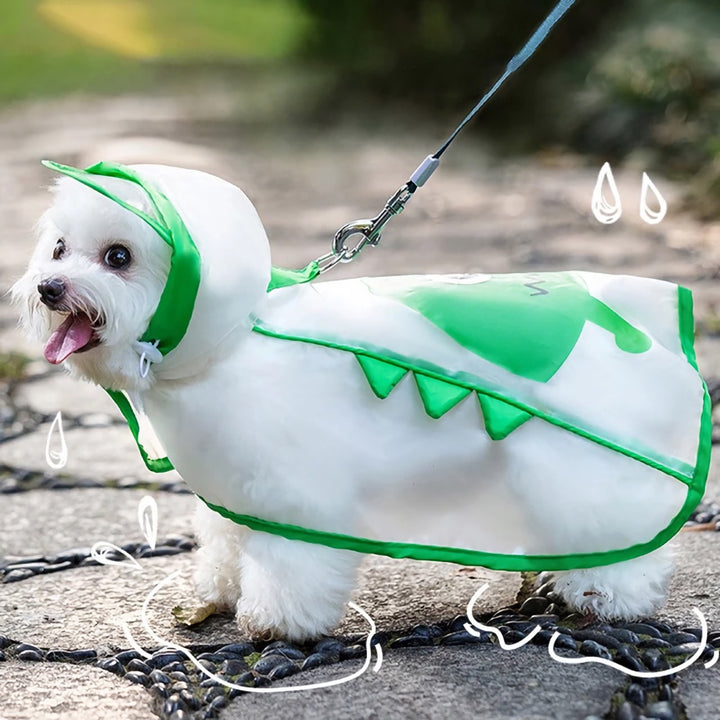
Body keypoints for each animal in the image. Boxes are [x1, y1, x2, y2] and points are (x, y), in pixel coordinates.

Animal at [12, 163, 708, 640]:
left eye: (118, 257)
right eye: (59, 249)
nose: (49, 287)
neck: (231, 339)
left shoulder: (294, 492)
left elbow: (288, 567)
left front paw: (275, 623)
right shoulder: (236, 485)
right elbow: (226, 545)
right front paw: (218, 593)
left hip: (582, 466)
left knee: (620, 536)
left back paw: (606, 596)